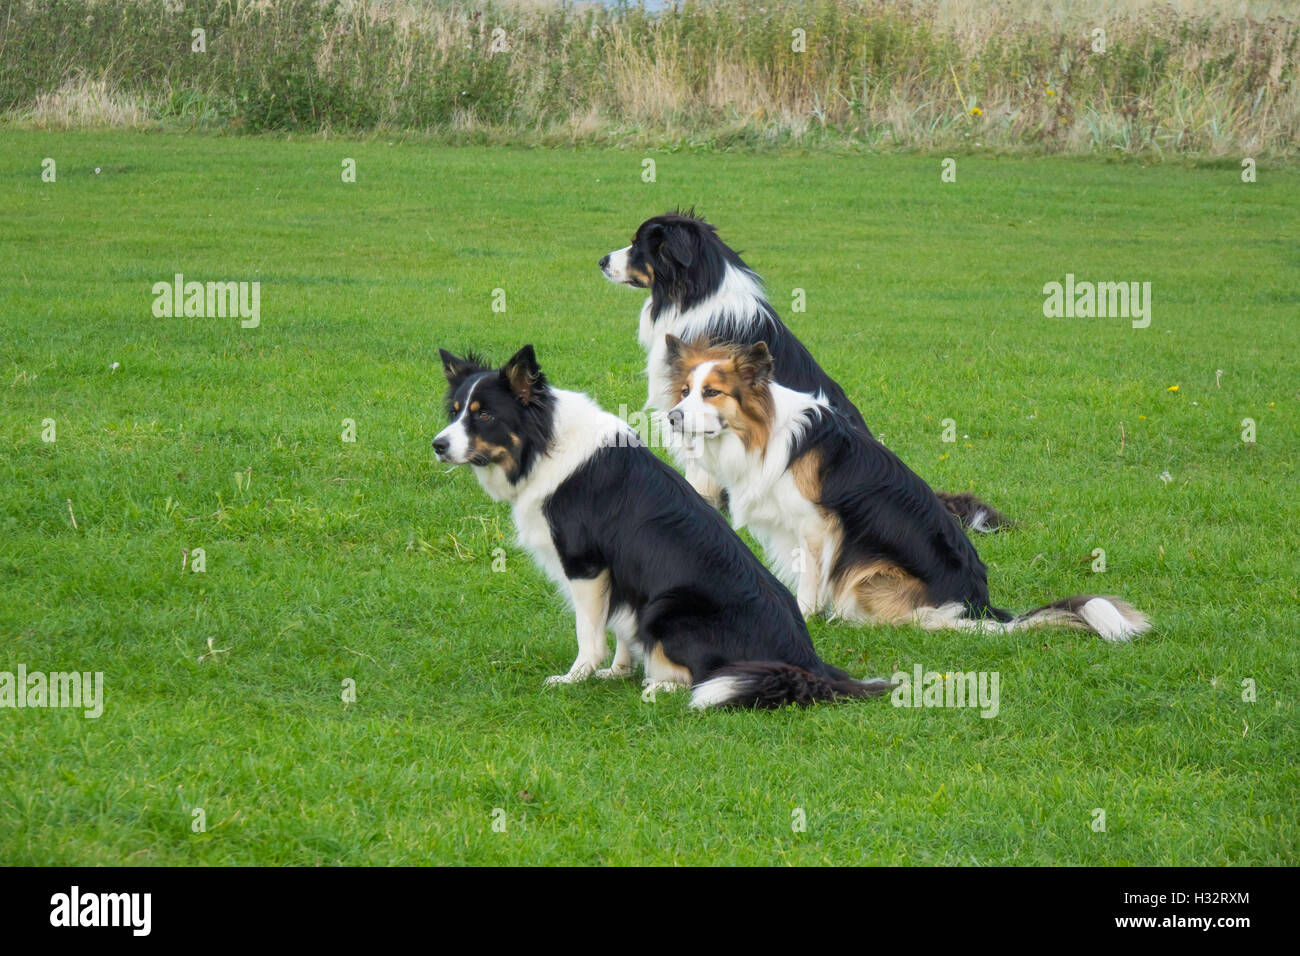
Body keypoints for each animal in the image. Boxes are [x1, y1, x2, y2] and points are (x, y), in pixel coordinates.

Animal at [431, 348, 899, 707]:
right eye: (455, 412)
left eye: (484, 415)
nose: (438, 445)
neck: (544, 443)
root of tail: (805, 660)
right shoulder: (622, 576)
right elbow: (621, 624)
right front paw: (617, 671)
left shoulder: (587, 565)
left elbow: (589, 633)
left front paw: (575, 678)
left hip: (668, 609)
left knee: (708, 677)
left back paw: (662, 686)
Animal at [670, 335, 1149, 642]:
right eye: (685, 390)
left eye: (712, 393)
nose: (672, 417)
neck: (761, 432)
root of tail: (979, 605)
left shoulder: (816, 529)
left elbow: (809, 582)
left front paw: (806, 617)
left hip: (868, 575)